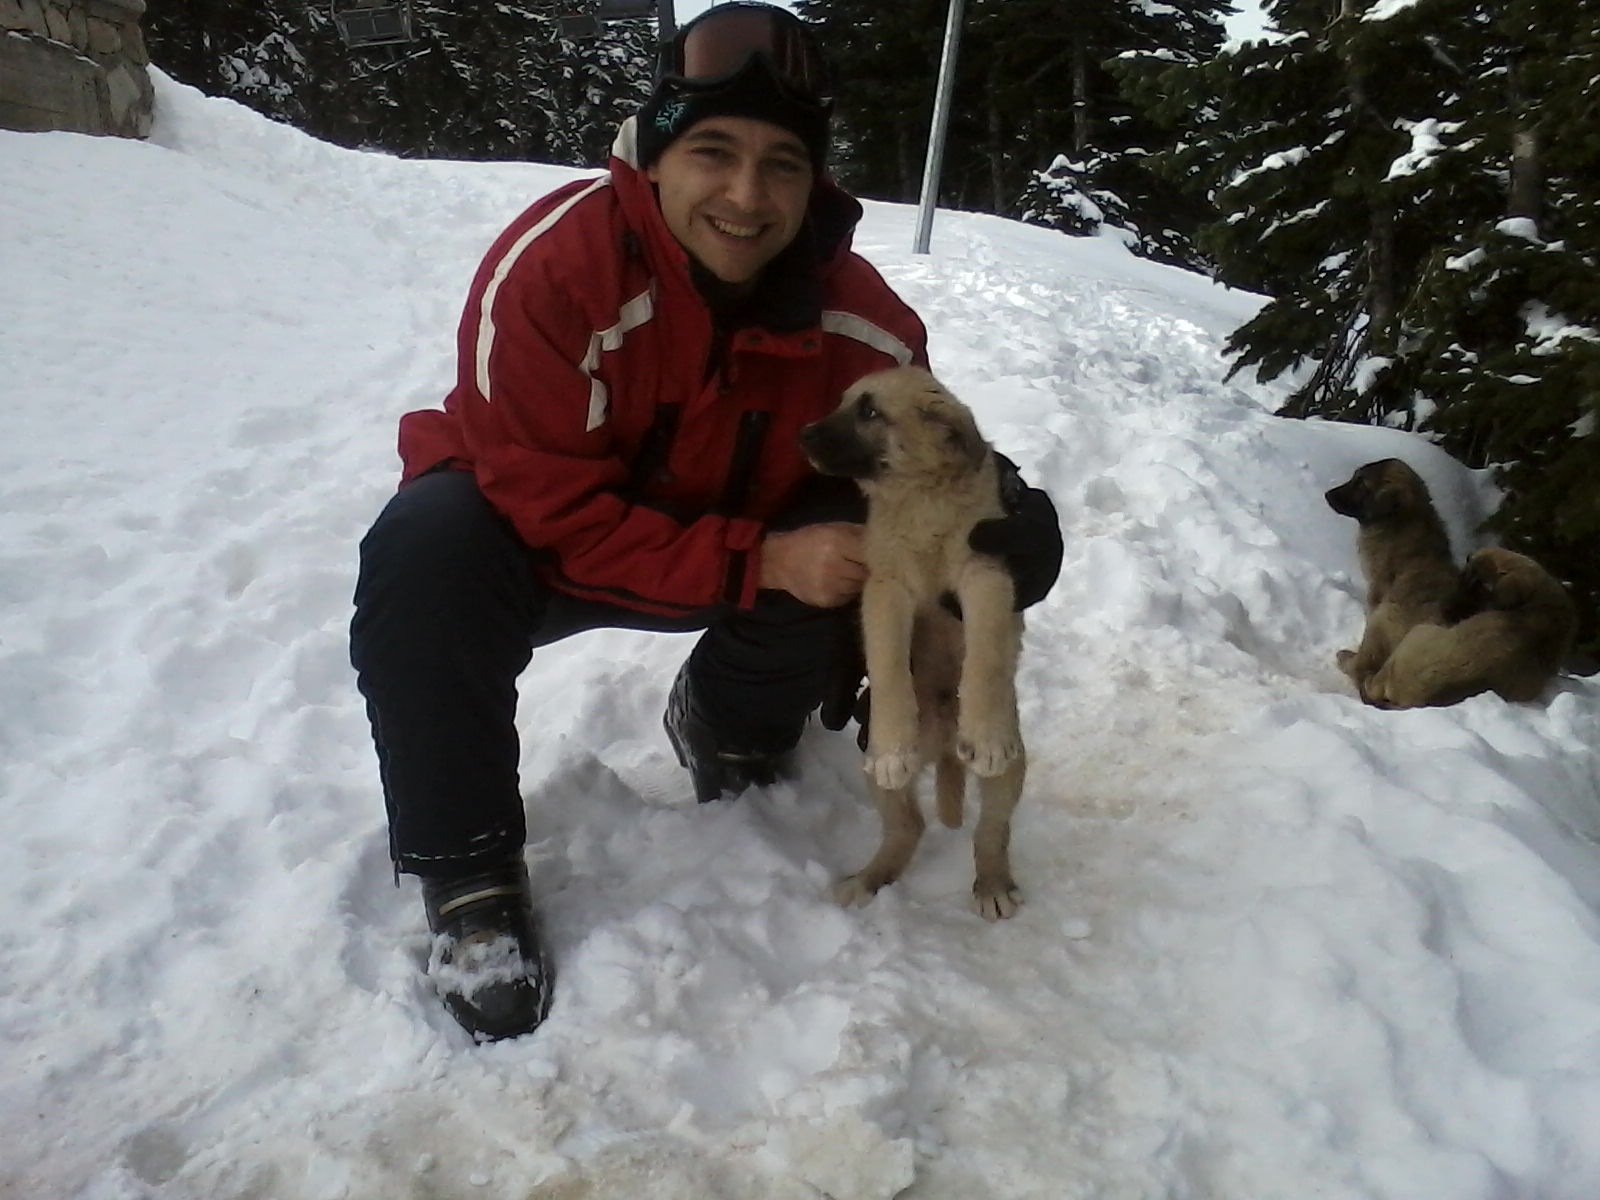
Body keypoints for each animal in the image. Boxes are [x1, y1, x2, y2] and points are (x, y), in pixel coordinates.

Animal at [800, 366, 1027, 921]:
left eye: (869, 411)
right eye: (843, 402)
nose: (803, 435)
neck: (920, 497)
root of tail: (944, 743)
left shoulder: (985, 574)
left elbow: (987, 653)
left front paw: (987, 735)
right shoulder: (885, 588)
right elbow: (886, 664)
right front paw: (892, 743)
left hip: (1013, 772)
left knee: (991, 830)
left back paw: (992, 883)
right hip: (876, 775)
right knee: (908, 824)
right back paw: (868, 878)